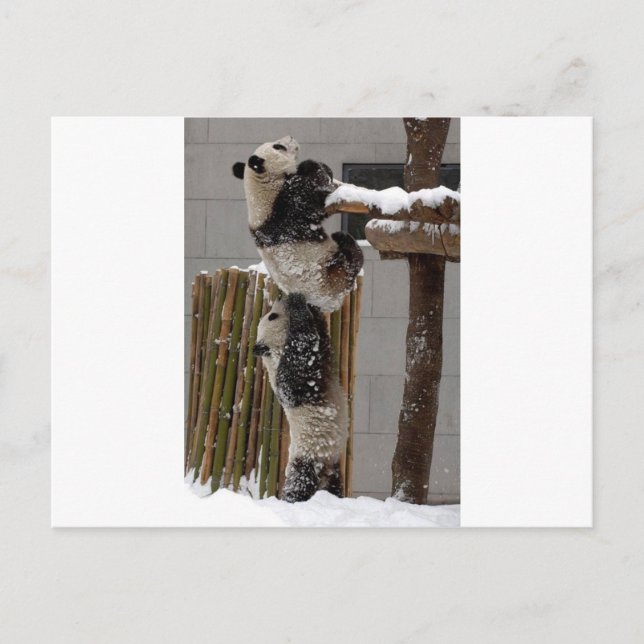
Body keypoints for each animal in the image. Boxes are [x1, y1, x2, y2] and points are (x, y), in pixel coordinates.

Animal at [232, 136, 363, 312]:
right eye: (278, 146)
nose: (291, 137)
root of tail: (329, 304)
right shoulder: (285, 206)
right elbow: (314, 196)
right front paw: (308, 165)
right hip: (331, 273)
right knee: (351, 261)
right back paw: (344, 239)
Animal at [253, 292, 348, 502]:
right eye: (272, 316)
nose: (280, 297)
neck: (273, 351)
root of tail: (324, 473)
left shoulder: (323, 354)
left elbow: (321, 336)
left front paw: (312, 307)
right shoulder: (292, 377)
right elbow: (302, 350)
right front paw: (297, 302)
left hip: (332, 463)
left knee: (334, 486)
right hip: (307, 456)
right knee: (300, 483)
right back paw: (292, 499)